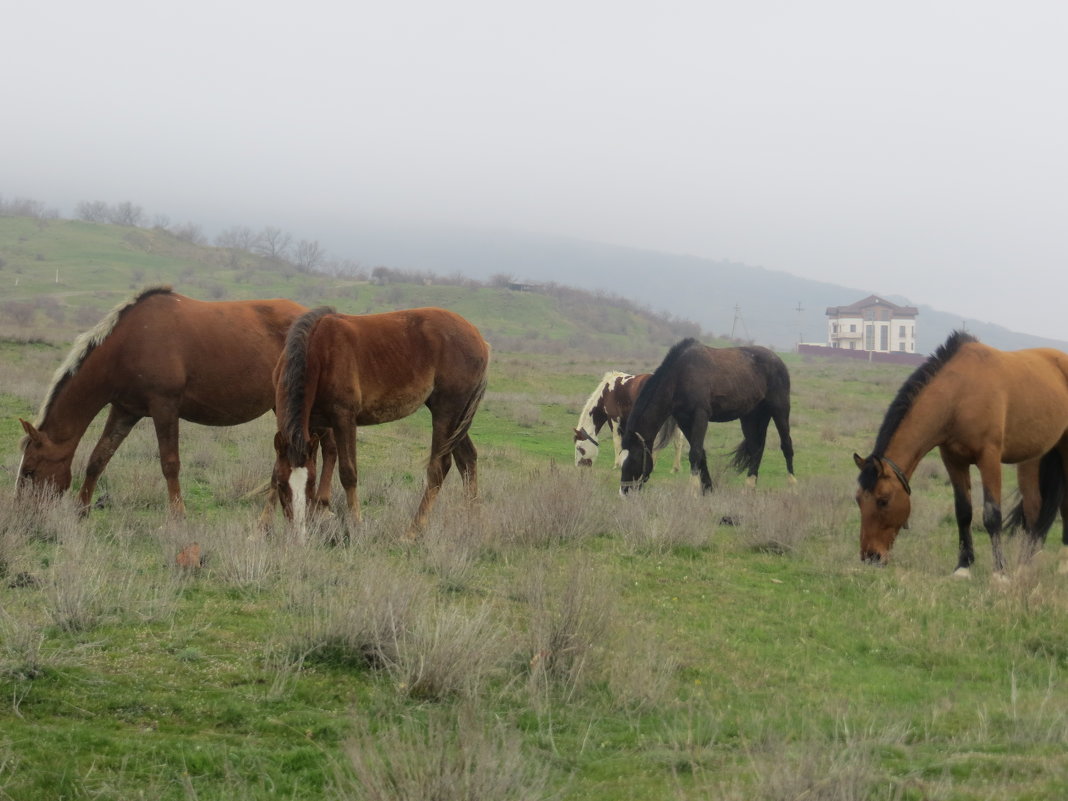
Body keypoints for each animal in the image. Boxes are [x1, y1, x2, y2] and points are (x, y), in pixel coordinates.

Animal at [15, 286, 333, 516]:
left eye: (29, 471)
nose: (22, 514)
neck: (128, 343)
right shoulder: (125, 410)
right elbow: (99, 457)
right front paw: (82, 509)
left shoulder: (164, 407)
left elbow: (170, 463)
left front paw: (178, 515)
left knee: (325, 451)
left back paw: (319, 506)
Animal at [269, 303, 489, 542]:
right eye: (282, 485)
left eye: (309, 484)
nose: (298, 535)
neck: (319, 352)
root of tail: (479, 339)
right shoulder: (313, 424)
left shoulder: (344, 419)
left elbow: (348, 473)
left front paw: (356, 524)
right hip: (457, 418)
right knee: (467, 459)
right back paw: (471, 521)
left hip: (446, 411)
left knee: (439, 467)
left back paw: (413, 530)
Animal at [619, 339, 794, 495]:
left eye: (633, 459)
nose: (624, 492)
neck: (680, 375)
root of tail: (777, 360)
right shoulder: (684, 420)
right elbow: (701, 454)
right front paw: (708, 489)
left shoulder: (700, 416)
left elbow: (695, 453)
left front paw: (692, 491)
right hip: (751, 417)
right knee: (756, 449)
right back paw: (749, 488)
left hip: (779, 410)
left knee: (786, 445)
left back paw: (792, 487)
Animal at [854, 333, 1068, 576]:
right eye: (858, 500)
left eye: (883, 501)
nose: (871, 555)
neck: (960, 395)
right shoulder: (953, 460)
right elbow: (963, 512)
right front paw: (964, 566)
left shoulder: (989, 459)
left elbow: (992, 515)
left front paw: (1000, 572)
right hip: (1032, 460)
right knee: (1034, 510)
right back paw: (1025, 566)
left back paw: (1062, 565)